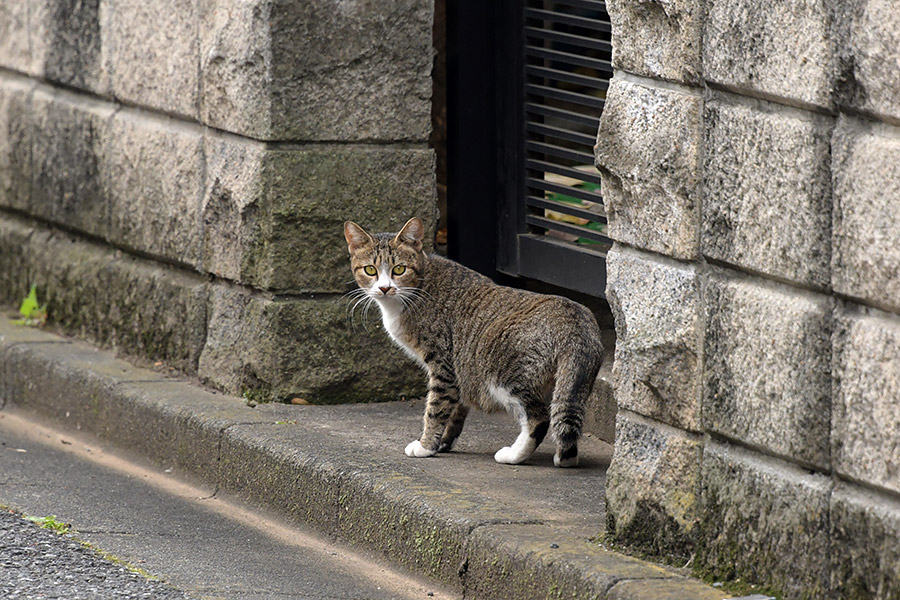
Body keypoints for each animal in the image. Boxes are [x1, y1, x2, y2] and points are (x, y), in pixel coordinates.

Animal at [344, 218, 604, 466]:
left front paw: (426, 446)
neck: (420, 285)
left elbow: (436, 408)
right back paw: (567, 458)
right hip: (569, 383)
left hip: (503, 372)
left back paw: (513, 455)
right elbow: (455, 409)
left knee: (539, 416)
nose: (384, 288)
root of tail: (574, 318)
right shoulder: (460, 369)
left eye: (399, 269)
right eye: (370, 270)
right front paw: (443, 442)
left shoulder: (442, 363)